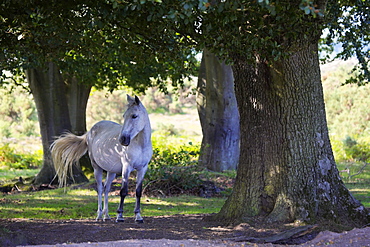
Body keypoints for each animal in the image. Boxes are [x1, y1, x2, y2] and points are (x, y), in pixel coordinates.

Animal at [50, 94, 152, 222]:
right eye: (124, 116)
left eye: (134, 116)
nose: (122, 139)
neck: (141, 145)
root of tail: (89, 132)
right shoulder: (126, 168)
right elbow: (123, 191)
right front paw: (120, 216)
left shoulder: (142, 169)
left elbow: (138, 192)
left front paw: (138, 216)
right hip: (96, 168)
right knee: (99, 189)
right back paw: (99, 215)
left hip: (111, 172)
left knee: (106, 189)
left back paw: (106, 215)